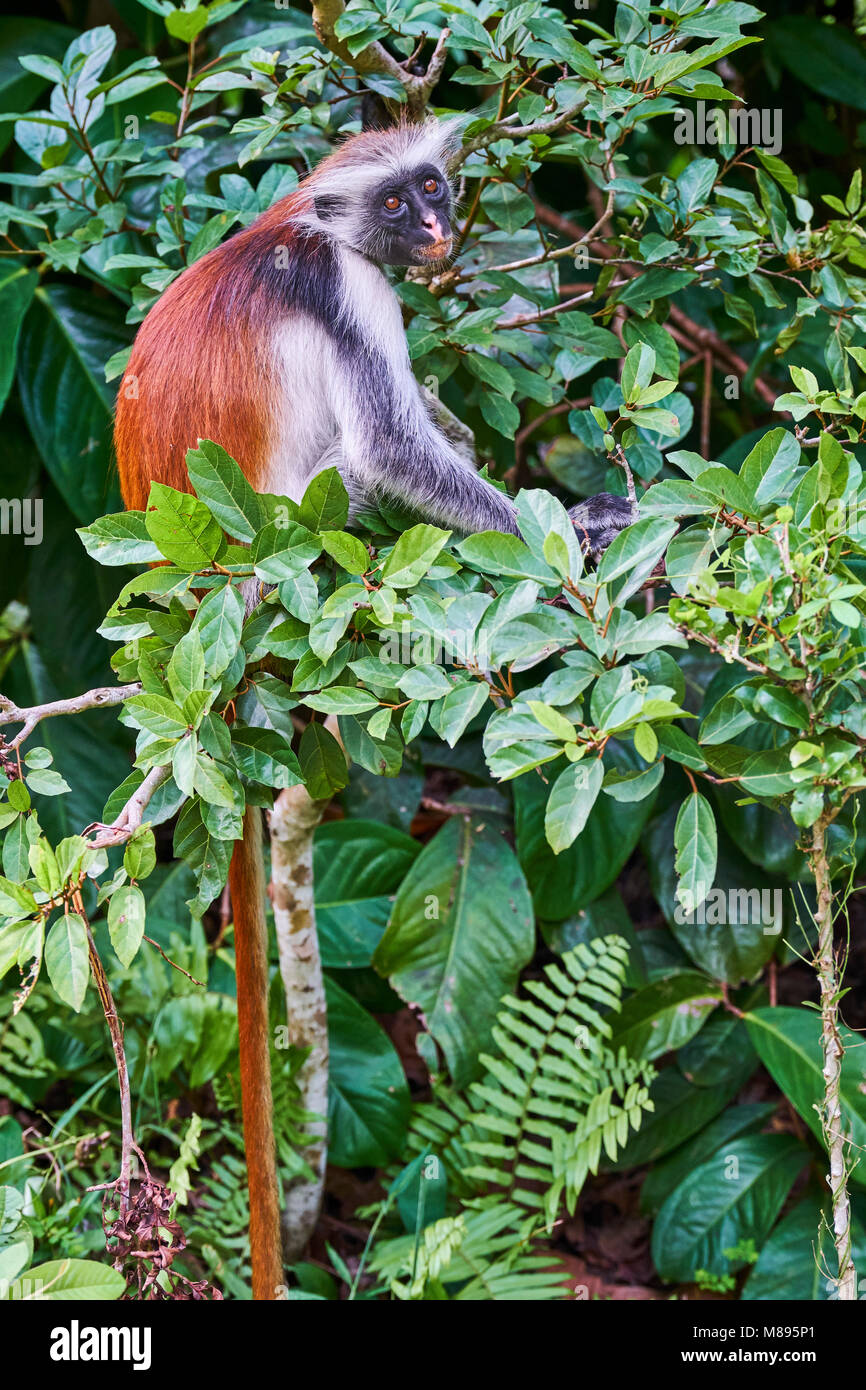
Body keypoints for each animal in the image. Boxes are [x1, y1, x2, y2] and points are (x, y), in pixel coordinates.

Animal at [113, 122, 631, 1301]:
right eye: (396, 205)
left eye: (431, 186)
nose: (436, 225)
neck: (306, 225)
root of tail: (189, 602)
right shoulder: (350, 291)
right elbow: (392, 449)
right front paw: (570, 544)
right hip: (282, 546)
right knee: (357, 464)